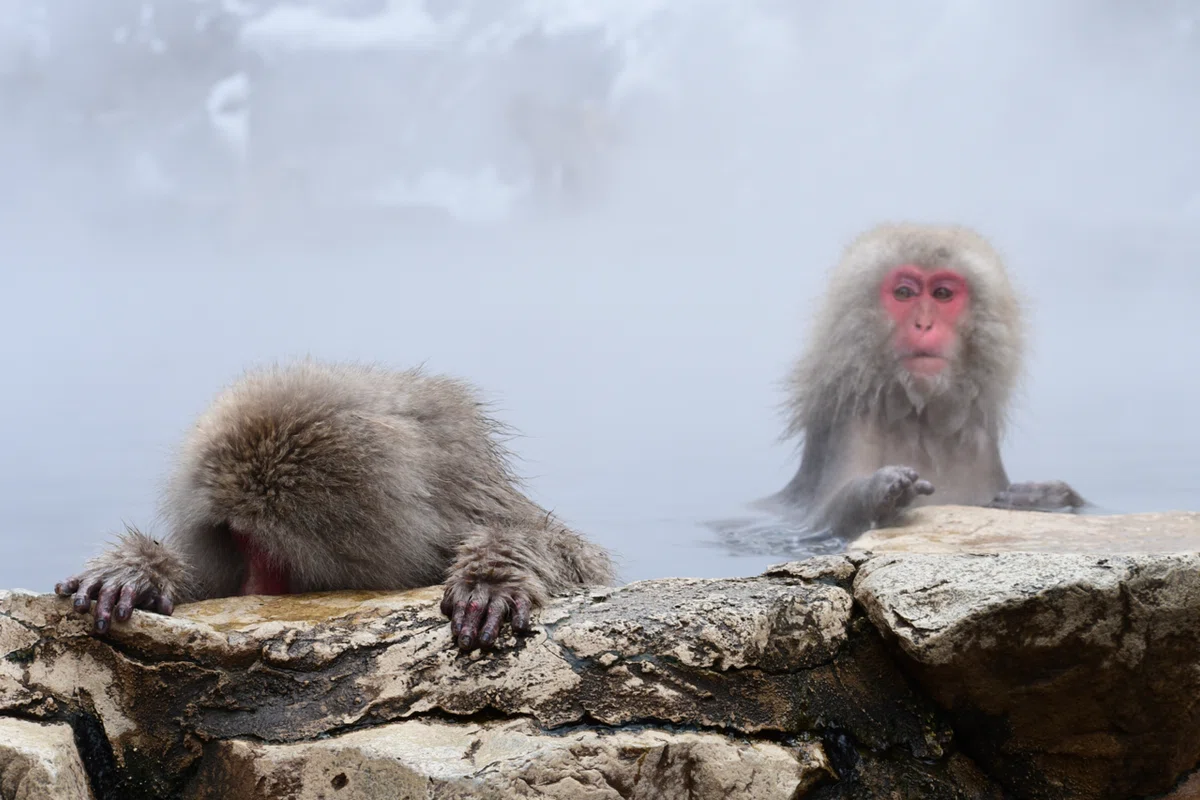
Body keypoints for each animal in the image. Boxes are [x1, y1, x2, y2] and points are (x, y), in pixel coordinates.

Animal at [54, 361, 614, 652]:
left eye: (266, 548)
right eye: (236, 539)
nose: (251, 587)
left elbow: (578, 559)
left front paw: (492, 575)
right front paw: (140, 569)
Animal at [762, 223, 1085, 540]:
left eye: (942, 293)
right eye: (904, 293)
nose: (924, 324)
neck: (919, 417)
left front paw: (1049, 496)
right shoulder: (853, 424)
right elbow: (828, 514)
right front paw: (883, 491)